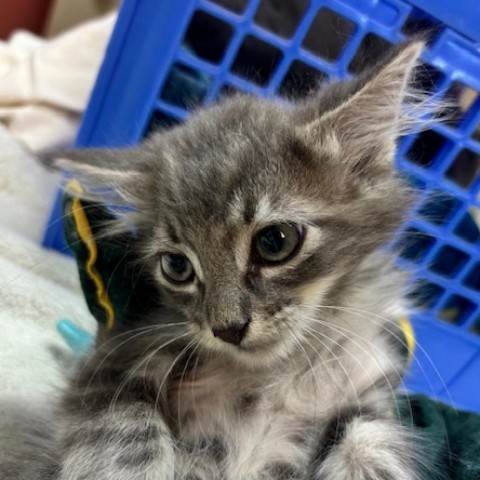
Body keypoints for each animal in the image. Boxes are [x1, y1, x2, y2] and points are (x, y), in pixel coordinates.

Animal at [1, 41, 436, 480]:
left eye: (275, 242)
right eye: (177, 267)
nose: (227, 329)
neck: (276, 372)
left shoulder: (367, 400)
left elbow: (373, 453)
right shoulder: (115, 362)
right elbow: (123, 441)